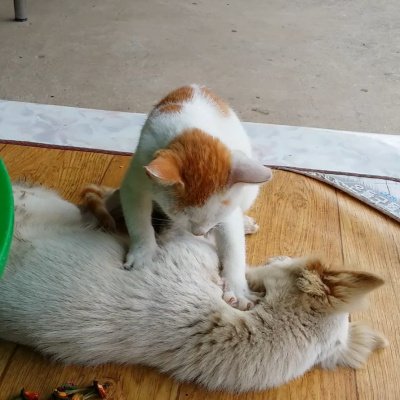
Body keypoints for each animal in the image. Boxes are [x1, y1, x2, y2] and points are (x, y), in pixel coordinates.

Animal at [119, 84, 272, 310]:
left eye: (217, 216)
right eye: (181, 214)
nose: (200, 233)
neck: (191, 130)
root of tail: (195, 86)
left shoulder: (228, 212)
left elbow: (233, 246)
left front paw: (237, 288)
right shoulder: (136, 179)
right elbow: (139, 223)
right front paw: (143, 253)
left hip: (249, 185)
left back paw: (245, 223)